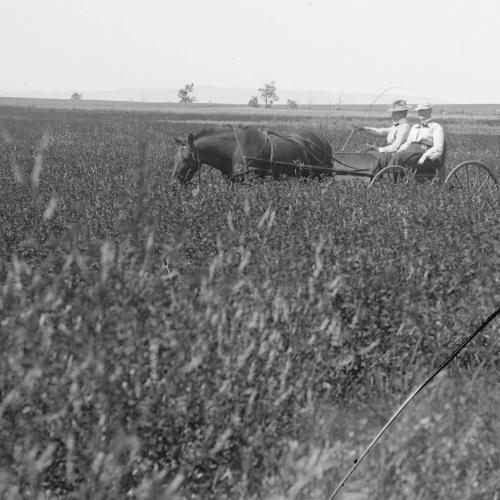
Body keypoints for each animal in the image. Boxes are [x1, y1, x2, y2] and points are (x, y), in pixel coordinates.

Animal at [172, 125, 332, 184]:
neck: (234, 150)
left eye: (185, 158)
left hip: (321, 175)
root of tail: (324, 141)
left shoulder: (251, 178)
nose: (175, 178)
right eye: (175, 157)